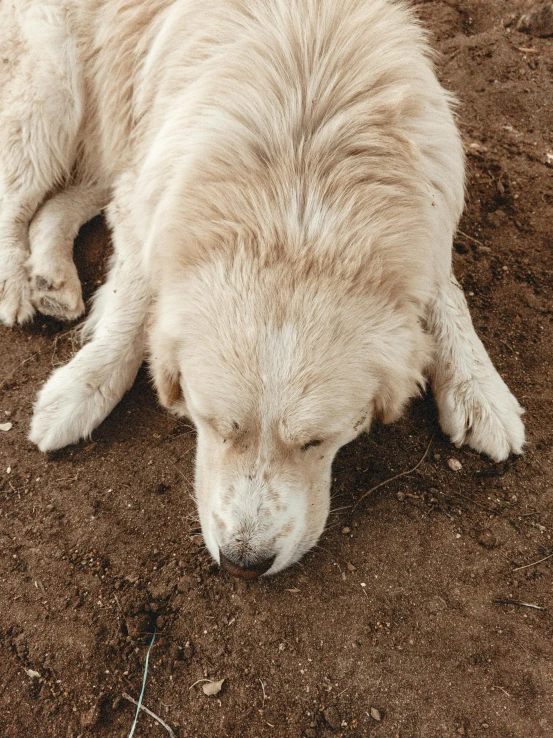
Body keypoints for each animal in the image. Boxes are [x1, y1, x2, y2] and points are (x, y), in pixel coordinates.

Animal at [1, 0, 520, 576]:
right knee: (15, 195)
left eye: (317, 441)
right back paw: (16, 285)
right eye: (210, 423)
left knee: (60, 201)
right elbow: (132, 299)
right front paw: (82, 386)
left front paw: (480, 387)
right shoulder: (150, 190)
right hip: (51, 99)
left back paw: (50, 277)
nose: (244, 563)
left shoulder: (432, 213)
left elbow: (447, 293)